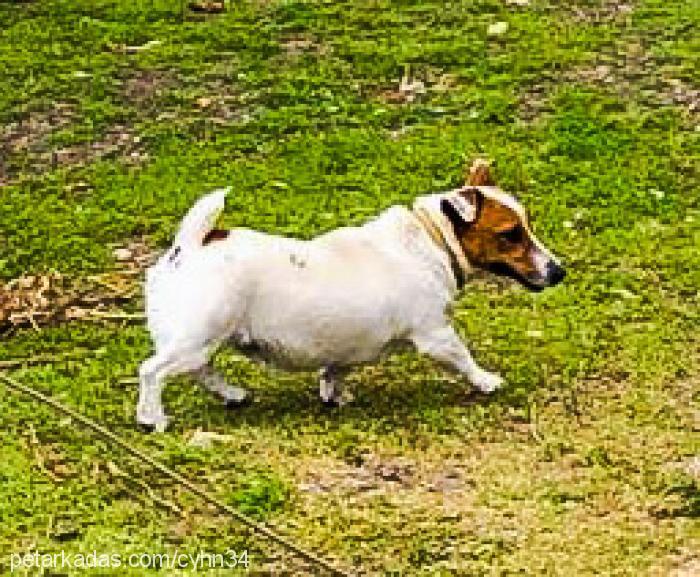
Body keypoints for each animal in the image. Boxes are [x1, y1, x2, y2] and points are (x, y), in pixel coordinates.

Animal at [137, 160, 564, 430]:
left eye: (527, 227)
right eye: (511, 234)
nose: (559, 272)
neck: (433, 241)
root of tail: (190, 245)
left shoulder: (351, 342)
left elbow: (335, 369)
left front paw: (333, 394)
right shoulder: (435, 334)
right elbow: (463, 358)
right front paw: (486, 381)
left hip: (202, 340)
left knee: (201, 370)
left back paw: (233, 394)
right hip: (198, 337)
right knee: (154, 371)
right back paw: (152, 419)